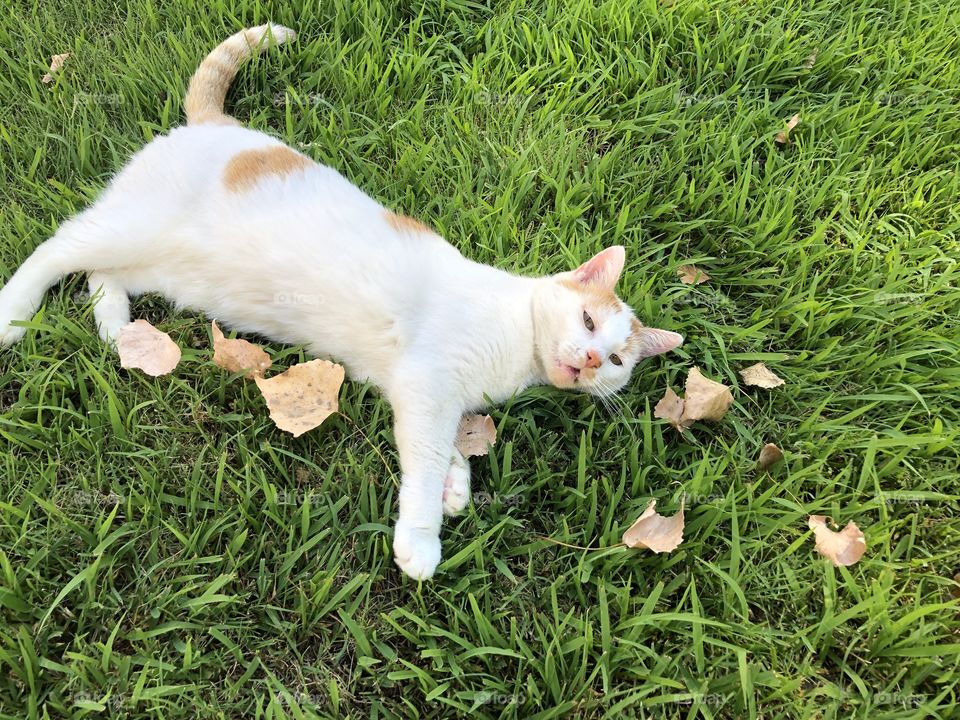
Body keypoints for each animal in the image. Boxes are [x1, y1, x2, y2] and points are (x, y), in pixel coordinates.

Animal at [0, 23, 684, 580]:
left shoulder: (426, 393)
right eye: (588, 320)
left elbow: (449, 446)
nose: (593, 362)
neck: (516, 348)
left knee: (99, 272)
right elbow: (425, 459)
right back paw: (13, 313)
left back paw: (117, 327)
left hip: (165, 269)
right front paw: (423, 535)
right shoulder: (428, 387)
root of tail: (215, 126)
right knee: (59, 245)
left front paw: (457, 485)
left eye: (617, 361)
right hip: (136, 226)